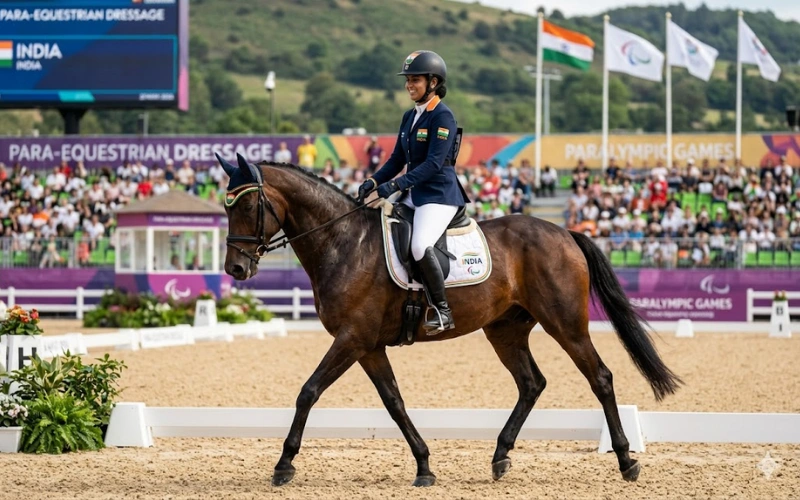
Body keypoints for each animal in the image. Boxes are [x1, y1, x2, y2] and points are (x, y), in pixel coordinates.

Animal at [216, 154, 682, 487]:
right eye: (227, 206)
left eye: (251, 204)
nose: (235, 269)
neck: (344, 243)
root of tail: (565, 232)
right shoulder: (368, 345)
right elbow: (394, 402)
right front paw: (424, 466)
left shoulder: (352, 338)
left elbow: (308, 392)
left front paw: (283, 464)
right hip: (505, 330)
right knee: (531, 383)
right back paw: (500, 455)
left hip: (565, 323)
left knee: (600, 377)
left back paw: (625, 460)